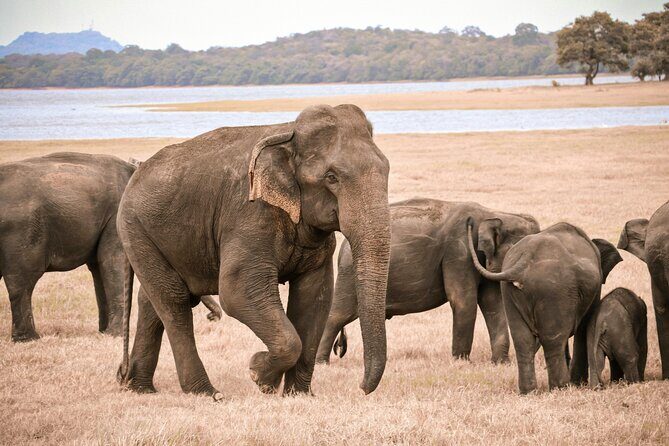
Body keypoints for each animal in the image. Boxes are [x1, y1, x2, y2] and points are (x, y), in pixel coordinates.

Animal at [0, 152, 135, 341]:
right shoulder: (117, 217)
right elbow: (112, 261)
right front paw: (115, 335)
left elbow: (99, 267)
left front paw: (104, 333)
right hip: (20, 232)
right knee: (22, 281)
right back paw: (29, 338)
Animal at [116, 104, 391, 400]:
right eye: (331, 177)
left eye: (387, 170)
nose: (361, 388)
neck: (288, 133)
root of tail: (135, 172)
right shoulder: (249, 214)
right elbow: (237, 292)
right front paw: (259, 375)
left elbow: (315, 296)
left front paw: (298, 395)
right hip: (135, 228)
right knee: (173, 301)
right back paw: (207, 393)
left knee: (151, 301)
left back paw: (140, 388)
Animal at [316, 198, 540, 365]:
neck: (496, 214)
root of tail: (343, 247)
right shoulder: (458, 252)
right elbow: (463, 301)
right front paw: (461, 363)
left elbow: (493, 304)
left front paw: (501, 363)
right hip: (349, 274)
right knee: (338, 315)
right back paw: (321, 363)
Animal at [467, 220, 622, 393]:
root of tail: (525, 260)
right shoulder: (594, 288)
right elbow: (586, 326)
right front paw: (580, 384)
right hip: (553, 290)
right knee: (553, 340)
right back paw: (560, 387)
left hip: (509, 290)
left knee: (522, 340)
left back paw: (529, 391)